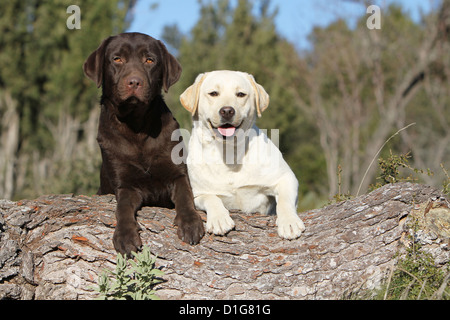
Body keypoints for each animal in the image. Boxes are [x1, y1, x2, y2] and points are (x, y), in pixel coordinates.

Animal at [83, 33, 205, 256]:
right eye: (117, 59)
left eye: (149, 60)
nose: (134, 82)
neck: (136, 127)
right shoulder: (125, 185)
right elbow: (122, 208)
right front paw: (125, 235)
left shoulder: (178, 174)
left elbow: (185, 195)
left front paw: (190, 222)